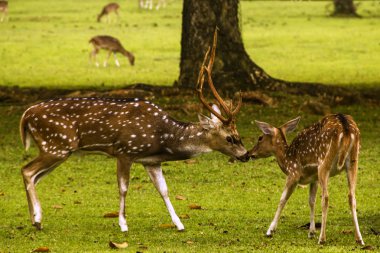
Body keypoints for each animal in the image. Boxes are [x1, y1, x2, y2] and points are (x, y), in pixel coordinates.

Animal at [20, 30, 249, 233]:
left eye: (239, 135)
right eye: (230, 138)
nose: (246, 155)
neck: (163, 139)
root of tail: (26, 115)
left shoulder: (151, 161)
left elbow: (164, 190)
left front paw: (179, 224)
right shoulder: (125, 151)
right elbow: (123, 187)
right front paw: (123, 224)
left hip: (58, 149)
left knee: (34, 176)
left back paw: (34, 219)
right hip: (55, 145)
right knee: (27, 171)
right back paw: (37, 219)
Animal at [249, 114, 366, 245]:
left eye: (260, 138)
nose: (249, 153)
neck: (286, 160)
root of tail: (345, 127)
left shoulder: (293, 173)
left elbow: (282, 199)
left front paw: (270, 230)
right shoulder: (314, 178)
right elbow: (311, 201)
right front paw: (311, 232)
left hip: (323, 162)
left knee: (326, 198)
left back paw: (322, 238)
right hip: (353, 161)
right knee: (352, 196)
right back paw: (359, 239)